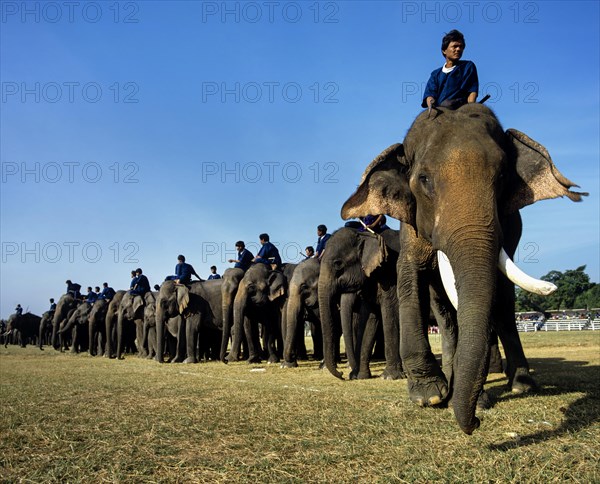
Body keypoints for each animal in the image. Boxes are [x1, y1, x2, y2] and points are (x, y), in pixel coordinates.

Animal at [318, 228, 404, 382]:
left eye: (338, 264)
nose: (342, 374)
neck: (367, 235)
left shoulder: (390, 274)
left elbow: (391, 312)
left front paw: (389, 377)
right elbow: (370, 319)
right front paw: (360, 376)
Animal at [342, 103, 584, 434]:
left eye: (503, 176)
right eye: (424, 179)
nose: (476, 424)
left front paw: (472, 399)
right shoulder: (410, 226)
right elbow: (411, 277)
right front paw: (430, 395)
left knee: (503, 302)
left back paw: (521, 385)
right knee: (446, 311)